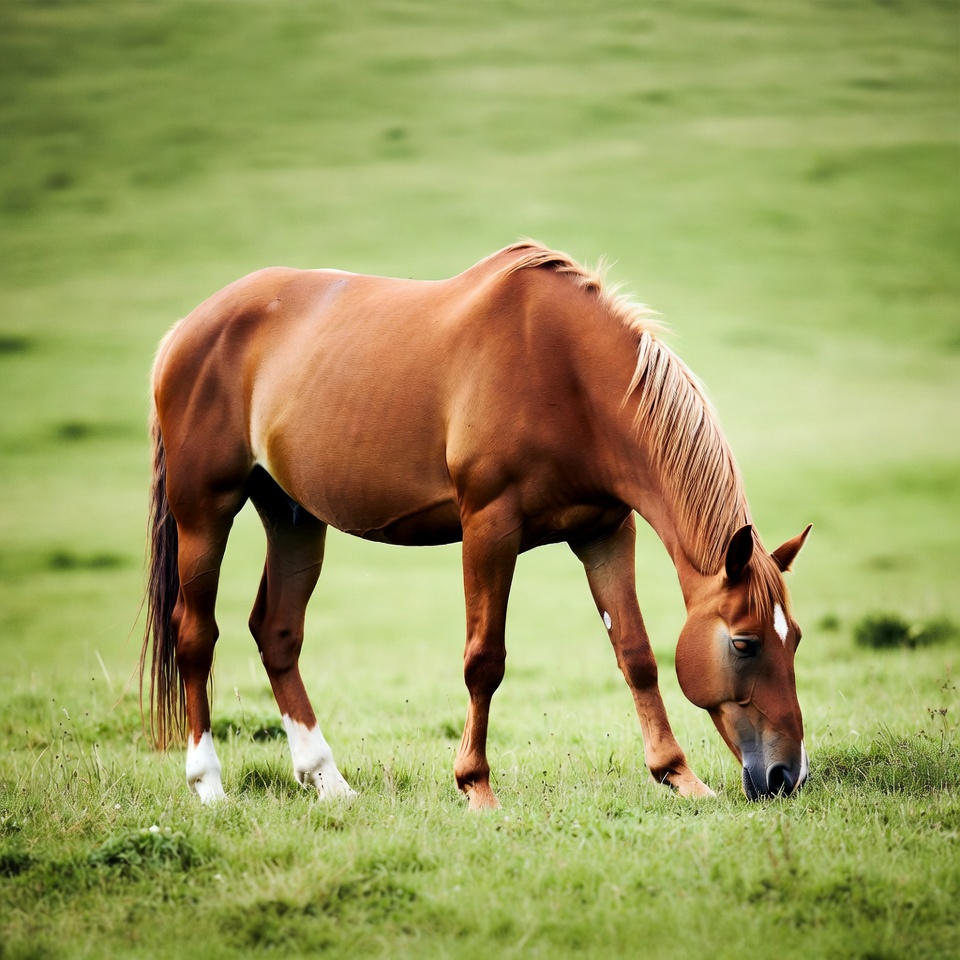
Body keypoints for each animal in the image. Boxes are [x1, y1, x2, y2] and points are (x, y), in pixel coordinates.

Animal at [141, 241, 811, 808]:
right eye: (745, 643)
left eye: (796, 639)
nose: (787, 774)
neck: (566, 374)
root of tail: (184, 332)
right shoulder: (491, 529)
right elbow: (484, 661)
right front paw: (476, 785)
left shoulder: (603, 532)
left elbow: (637, 653)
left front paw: (679, 777)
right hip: (206, 513)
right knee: (195, 635)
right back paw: (208, 784)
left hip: (293, 516)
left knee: (277, 632)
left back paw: (328, 780)